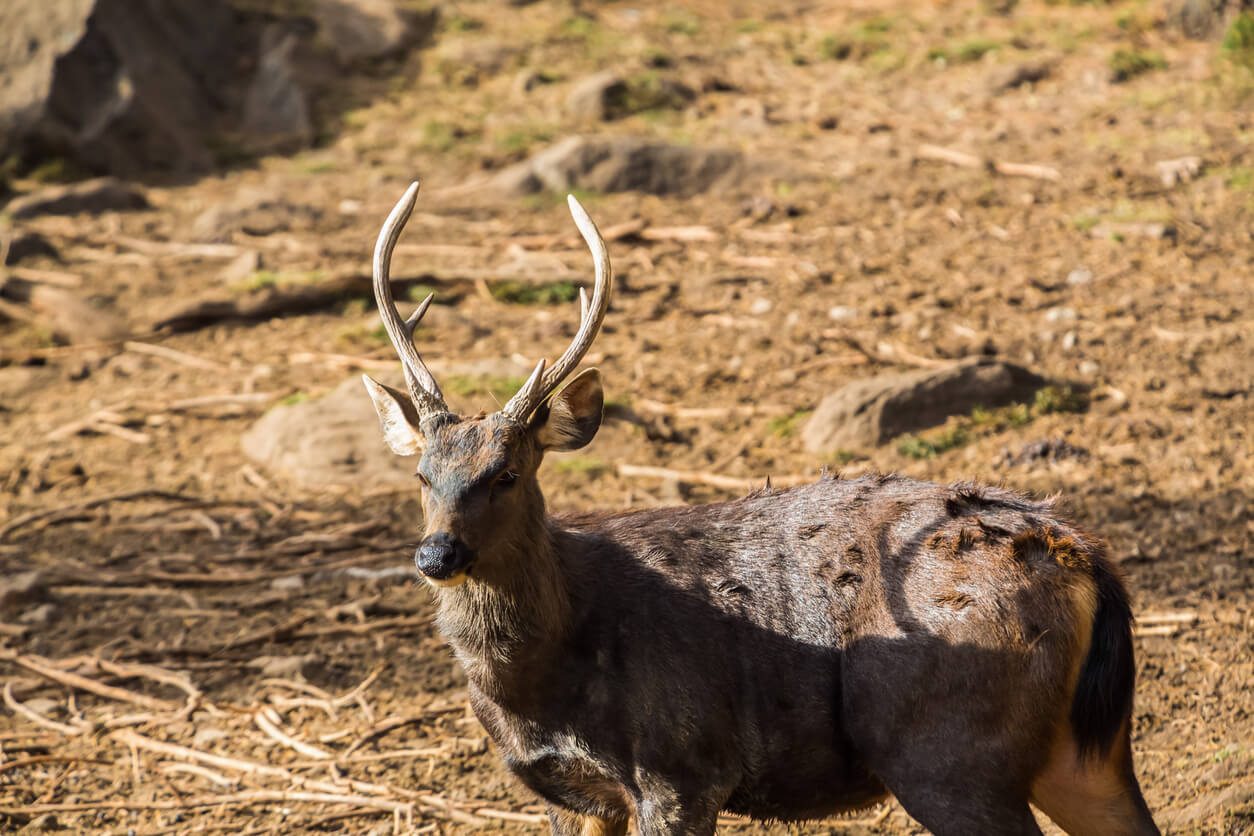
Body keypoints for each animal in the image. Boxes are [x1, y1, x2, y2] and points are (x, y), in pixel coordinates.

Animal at [358, 182, 1158, 836]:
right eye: (423, 475)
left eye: (508, 472)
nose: (437, 554)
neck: (546, 679)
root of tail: (1083, 557)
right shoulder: (576, 795)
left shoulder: (683, 768)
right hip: (1086, 753)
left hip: (950, 753)